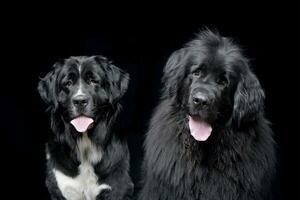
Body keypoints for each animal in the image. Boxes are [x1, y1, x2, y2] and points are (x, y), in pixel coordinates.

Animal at [37, 55, 134, 200]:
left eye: (93, 81)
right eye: (68, 83)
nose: (80, 101)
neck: (85, 143)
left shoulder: (117, 188)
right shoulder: (61, 187)